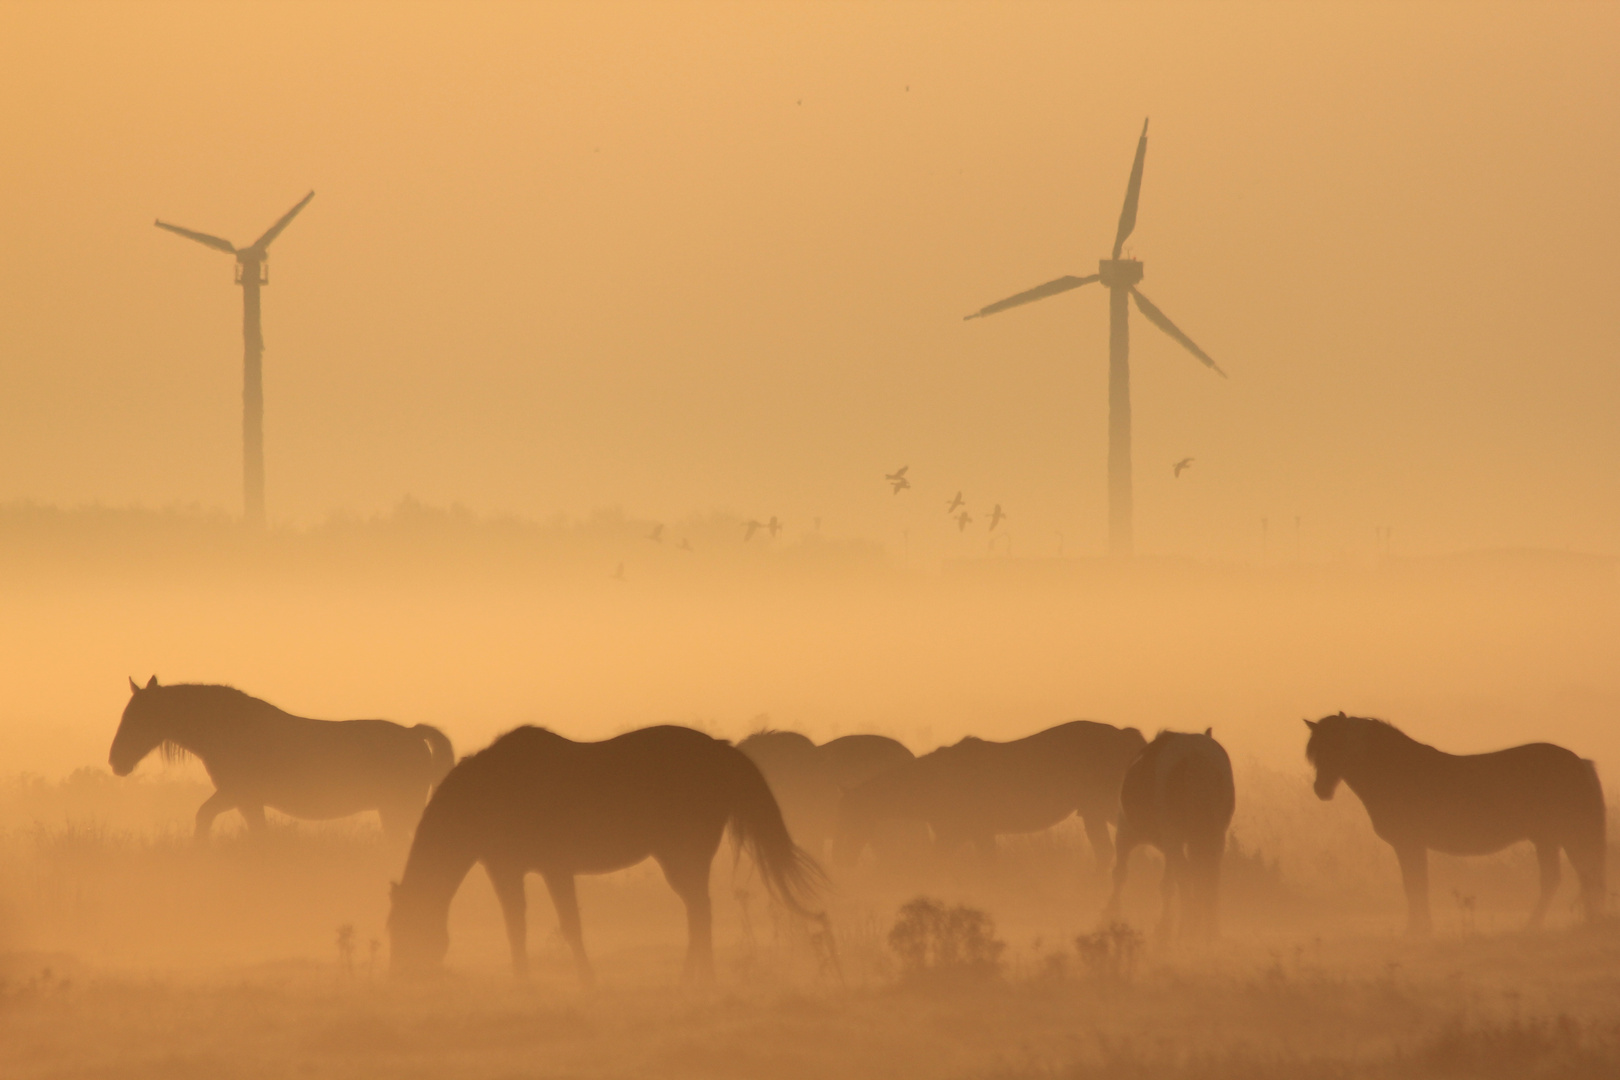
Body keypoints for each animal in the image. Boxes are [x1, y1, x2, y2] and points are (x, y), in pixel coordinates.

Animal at [109, 676, 456, 841]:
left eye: (138, 717)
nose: (115, 761)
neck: (230, 728)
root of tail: (413, 735)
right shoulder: (238, 798)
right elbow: (208, 818)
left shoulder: (240, 796)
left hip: (399, 809)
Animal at [388, 725, 822, 990]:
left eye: (401, 927)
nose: (403, 978)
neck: (489, 793)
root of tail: (719, 750)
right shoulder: (510, 870)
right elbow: (520, 926)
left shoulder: (547, 869)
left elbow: (561, 925)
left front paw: (576, 982)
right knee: (699, 912)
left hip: (683, 859)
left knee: (700, 912)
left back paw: (696, 982)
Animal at [829, 722, 1146, 874]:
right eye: (840, 820)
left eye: (852, 821)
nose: (841, 861)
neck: (932, 781)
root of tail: (1128, 736)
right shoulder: (965, 834)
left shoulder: (967, 833)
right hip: (1095, 811)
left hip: (1103, 808)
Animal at [1108, 731, 1231, 939]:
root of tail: (1194, 752)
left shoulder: (1126, 835)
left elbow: (1121, 876)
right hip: (1213, 837)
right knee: (1210, 877)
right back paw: (1206, 932)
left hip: (1171, 837)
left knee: (1185, 875)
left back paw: (1187, 928)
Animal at [1302, 712, 1607, 932]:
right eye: (1316, 751)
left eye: (1338, 746)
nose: (1321, 790)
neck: (1399, 771)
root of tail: (1578, 762)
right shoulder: (1410, 845)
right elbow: (1414, 885)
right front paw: (1420, 927)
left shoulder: (1410, 844)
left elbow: (1415, 885)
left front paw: (1418, 929)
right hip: (1554, 838)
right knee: (1577, 877)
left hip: (1558, 836)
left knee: (1569, 878)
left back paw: (1537, 926)